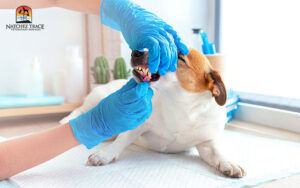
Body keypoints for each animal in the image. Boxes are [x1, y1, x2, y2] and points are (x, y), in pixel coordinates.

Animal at [60, 48, 246, 178]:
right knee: (81, 111)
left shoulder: (206, 142)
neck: (180, 107)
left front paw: (229, 163)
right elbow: (121, 141)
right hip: (98, 100)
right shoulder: (136, 127)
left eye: (180, 57)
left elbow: (217, 153)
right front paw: (104, 155)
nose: (137, 51)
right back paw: (67, 121)